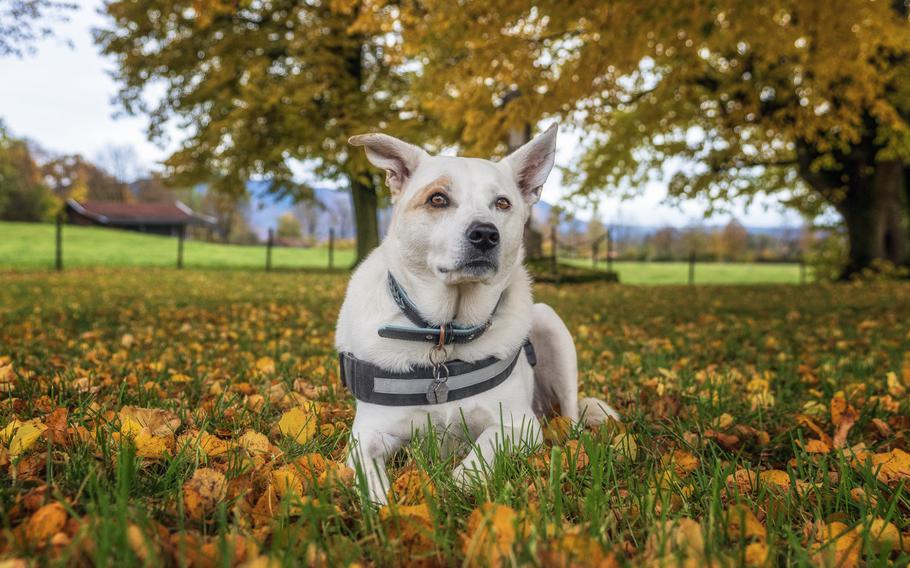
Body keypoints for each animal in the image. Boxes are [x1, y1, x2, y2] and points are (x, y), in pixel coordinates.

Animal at [336, 123, 620, 502]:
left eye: (502, 203)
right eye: (437, 199)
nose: (485, 234)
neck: (445, 332)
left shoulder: (520, 425)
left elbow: (479, 453)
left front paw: (454, 488)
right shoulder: (366, 435)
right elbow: (371, 482)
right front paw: (384, 507)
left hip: (551, 326)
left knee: (571, 416)